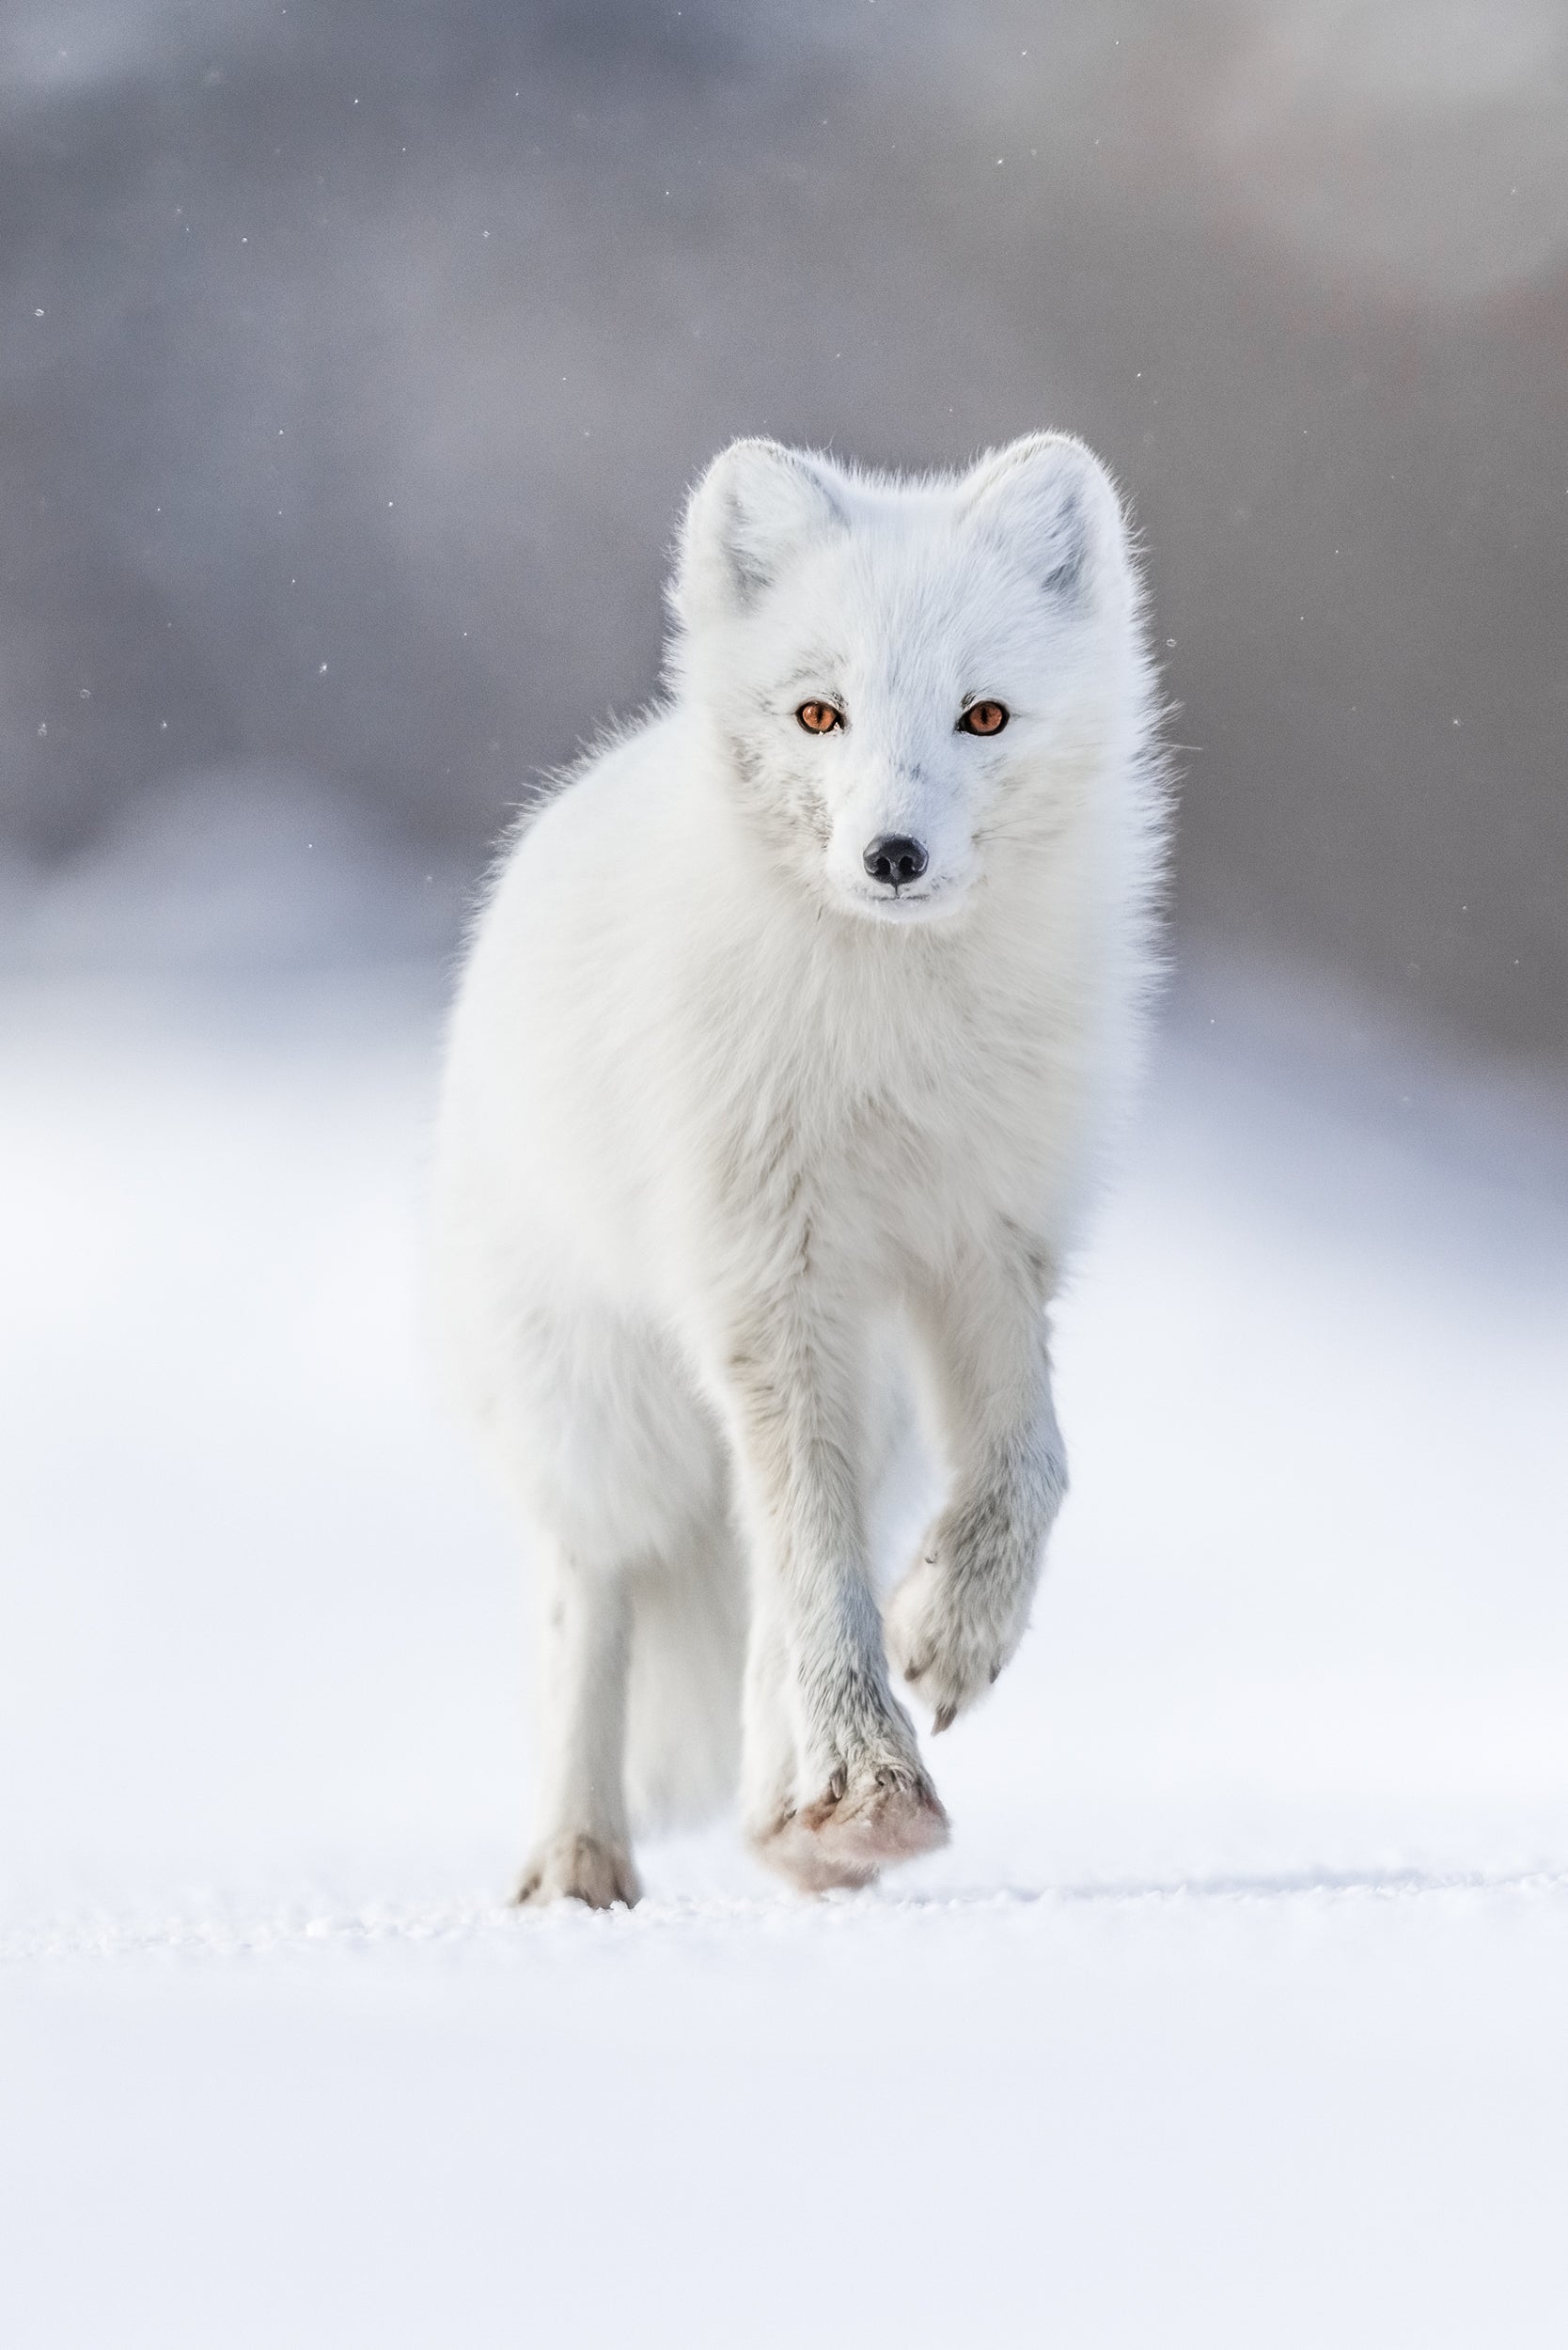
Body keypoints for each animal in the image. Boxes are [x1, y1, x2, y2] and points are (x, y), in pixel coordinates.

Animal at [431, 431, 1166, 1905]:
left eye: (983, 717)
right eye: (819, 715)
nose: (891, 856)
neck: (895, 1045)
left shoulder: (984, 1242)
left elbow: (1030, 1466)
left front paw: (951, 1638)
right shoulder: (765, 1280)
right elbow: (812, 1565)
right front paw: (869, 1779)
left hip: (866, 1386)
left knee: (779, 1564)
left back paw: (797, 1824)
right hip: (598, 1411)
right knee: (594, 1594)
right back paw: (579, 1863)